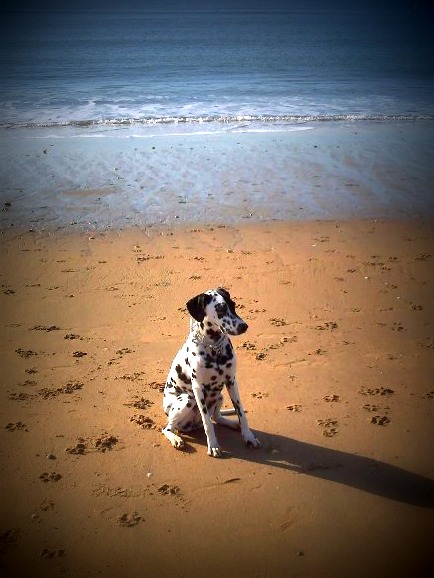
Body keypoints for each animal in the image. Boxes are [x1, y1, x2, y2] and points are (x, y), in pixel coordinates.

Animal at [162, 286, 258, 454]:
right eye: (220, 308)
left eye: (233, 305)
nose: (244, 326)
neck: (214, 348)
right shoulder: (198, 389)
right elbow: (207, 422)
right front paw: (213, 444)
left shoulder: (231, 382)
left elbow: (241, 412)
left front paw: (248, 437)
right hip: (186, 399)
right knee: (168, 428)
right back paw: (176, 439)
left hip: (220, 396)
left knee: (217, 417)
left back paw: (232, 423)